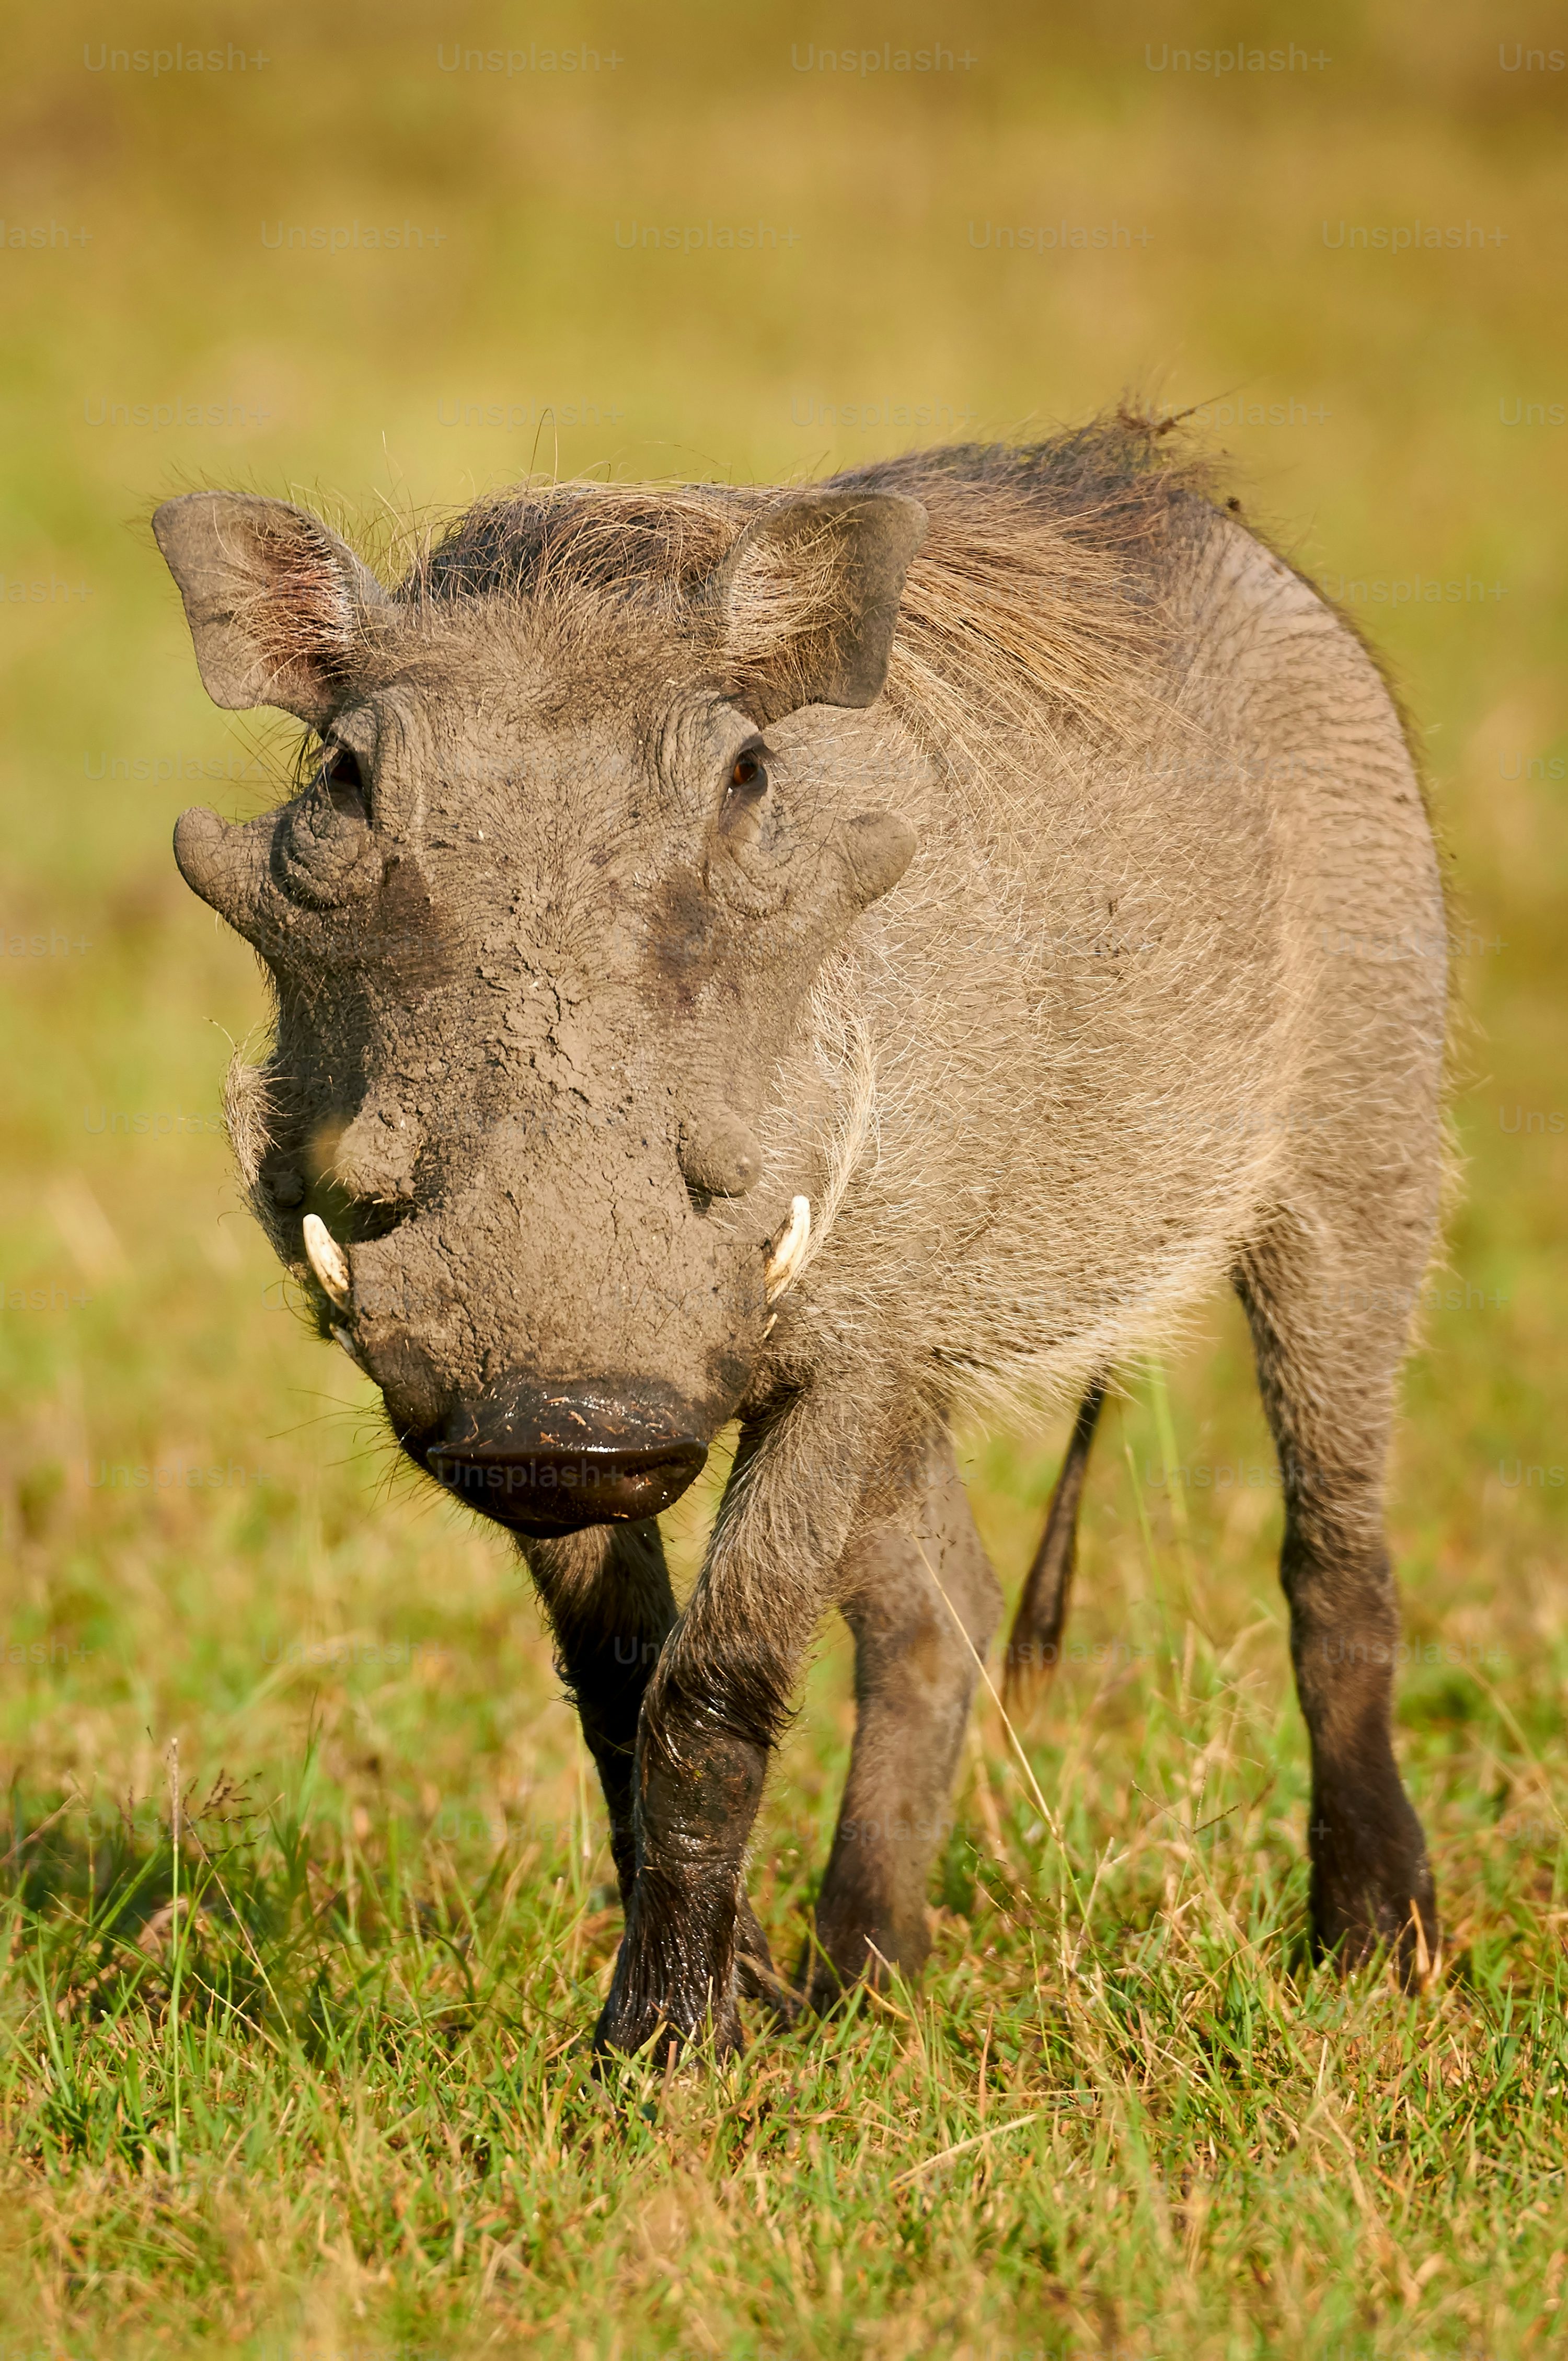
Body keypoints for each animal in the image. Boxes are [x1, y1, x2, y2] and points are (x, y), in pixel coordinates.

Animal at [154, 418, 1444, 2058]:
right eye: (343, 772)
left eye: (746, 773)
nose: (560, 1415)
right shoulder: (582, 1412)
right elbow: (618, 1691)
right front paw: (747, 2002)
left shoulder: (838, 1353)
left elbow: (714, 1688)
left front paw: (665, 2049)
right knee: (941, 1607)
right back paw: (866, 1973)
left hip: (1356, 1174)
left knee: (1335, 1560)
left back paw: (1375, 1945)